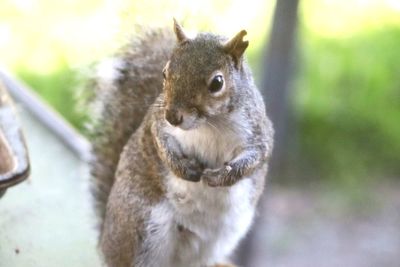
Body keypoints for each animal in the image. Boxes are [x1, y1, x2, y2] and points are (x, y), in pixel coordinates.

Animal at [89, 19, 274, 267]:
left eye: (217, 83)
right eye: (165, 72)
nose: (173, 116)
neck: (210, 124)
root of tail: (105, 242)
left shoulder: (259, 131)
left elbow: (256, 157)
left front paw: (222, 176)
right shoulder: (157, 122)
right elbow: (161, 144)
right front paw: (184, 168)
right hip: (142, 226)